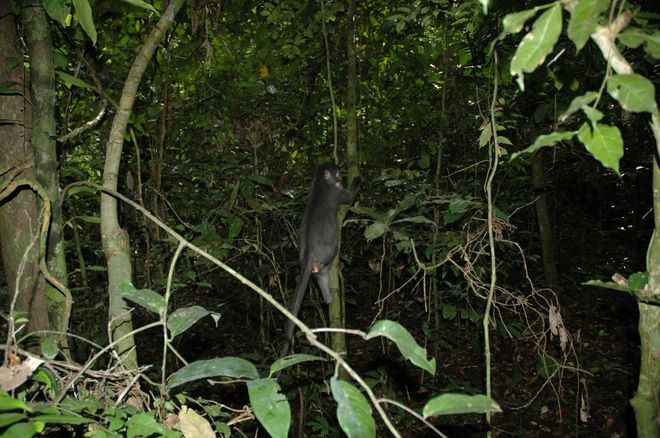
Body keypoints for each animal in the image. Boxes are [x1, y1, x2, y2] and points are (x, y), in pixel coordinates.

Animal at [280, 163, 361, 358]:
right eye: (338, 172)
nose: (342, 175)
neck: (320, 184)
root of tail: (308, 253)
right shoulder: (337, 192)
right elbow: (349, 197)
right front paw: (357, 177)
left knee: (319, 276)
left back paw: (328, 299)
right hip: (327, 255)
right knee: (328, 265)